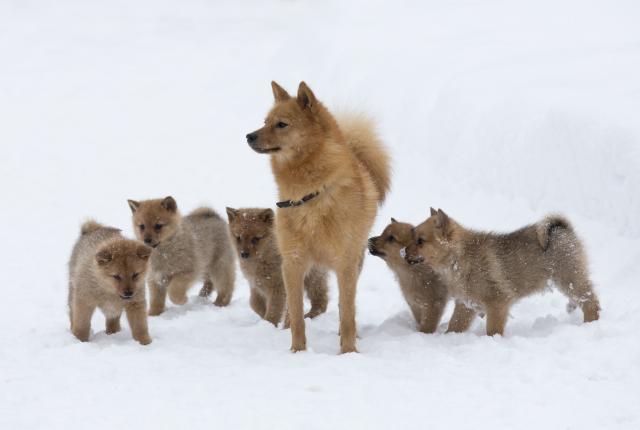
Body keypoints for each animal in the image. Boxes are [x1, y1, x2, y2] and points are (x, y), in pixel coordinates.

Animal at [249, 80, 390, 352]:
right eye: (265, 121)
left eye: (281, 124)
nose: (248, 136)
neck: (309, 196)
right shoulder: (292, 263)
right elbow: (296, 314)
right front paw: (297, 351)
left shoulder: (345, 264)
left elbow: (347, 314)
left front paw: (349, 352)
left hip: (355, 263)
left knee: (347, 307)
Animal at [404, 208, 600, 336]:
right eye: (412, 237)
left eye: (420, 241)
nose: (403, 252)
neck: (459, 258)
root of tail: (561, 228)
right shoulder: (466, 304)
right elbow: (455, 325)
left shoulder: (497, 303)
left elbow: (493, 330)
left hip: (569, 279)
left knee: (591, 302)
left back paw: (590, 324)